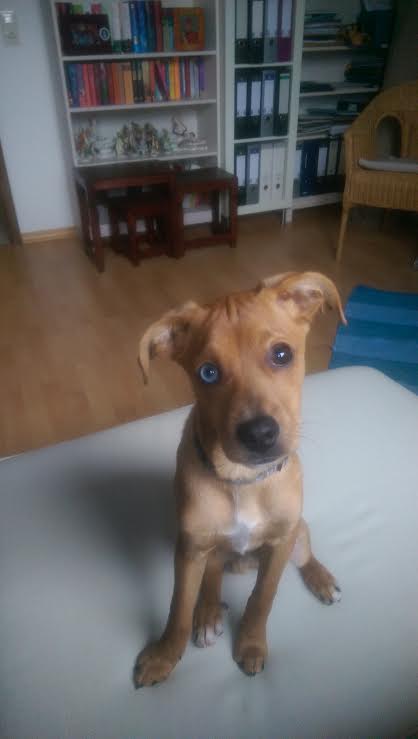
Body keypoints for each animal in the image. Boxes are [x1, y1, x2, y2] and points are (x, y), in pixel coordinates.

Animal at [134, 271, 346, 687]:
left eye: (282, 354)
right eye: (208, 372)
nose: (259, 434)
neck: (243, 480)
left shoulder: (280, 543)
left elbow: (262, 599)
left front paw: (251, 644)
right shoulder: (190, 548)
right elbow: (178, 608)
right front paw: (165, 655)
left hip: (297, 530)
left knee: (304, 552)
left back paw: (320, 577)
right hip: (209, 548)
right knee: (213, 576)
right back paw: (208, 614)